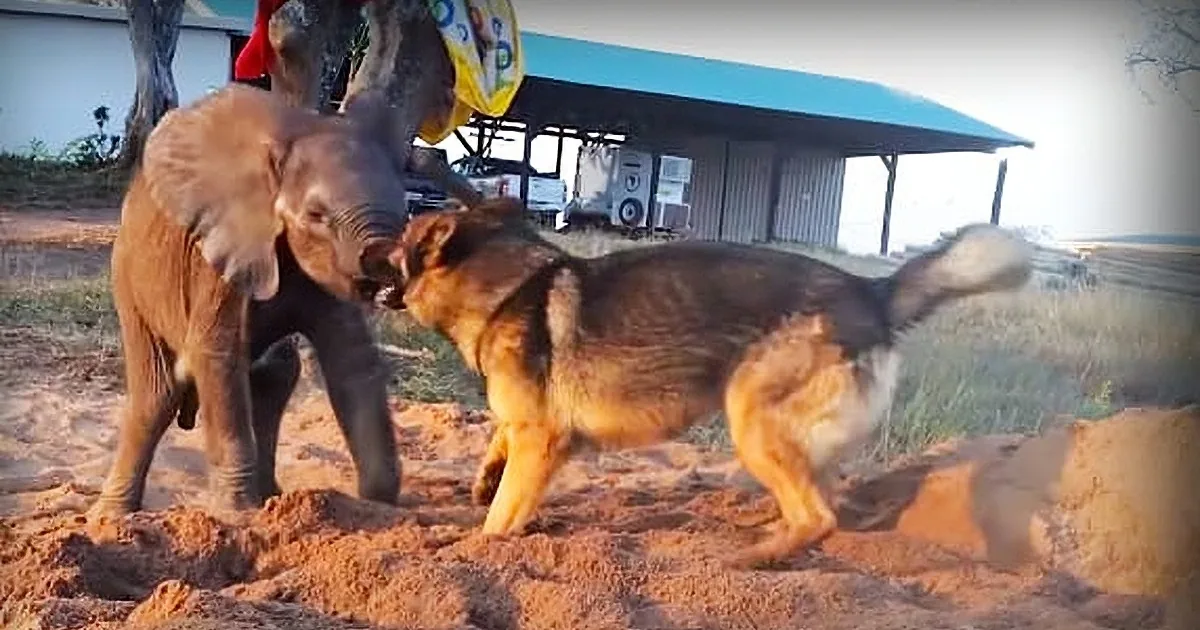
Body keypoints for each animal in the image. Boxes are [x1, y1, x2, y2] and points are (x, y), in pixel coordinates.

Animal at [92, 82, 433, 517]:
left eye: (407, 208)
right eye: (317, 215)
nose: (388, 286)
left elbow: (352, 359)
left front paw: (377, 506)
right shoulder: (220, 250)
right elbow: (217, 354)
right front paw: (236, 513)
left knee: (275, 375)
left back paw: (272, 498)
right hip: (129, 281)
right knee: (157, 395)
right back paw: (111, 517)